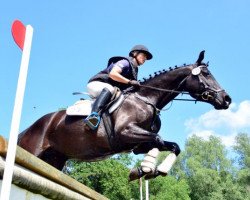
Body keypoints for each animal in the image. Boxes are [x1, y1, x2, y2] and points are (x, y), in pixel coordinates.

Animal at [18, 51, 232, 180]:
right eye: (206, 74)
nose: (227, 99)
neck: (146, 98)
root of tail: (28, 129)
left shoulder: (137, 145)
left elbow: (172, 146)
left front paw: (149, 170)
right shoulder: (126, 132)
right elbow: (158, 139)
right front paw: (145, 170)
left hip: (55, 159)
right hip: (33, 150)